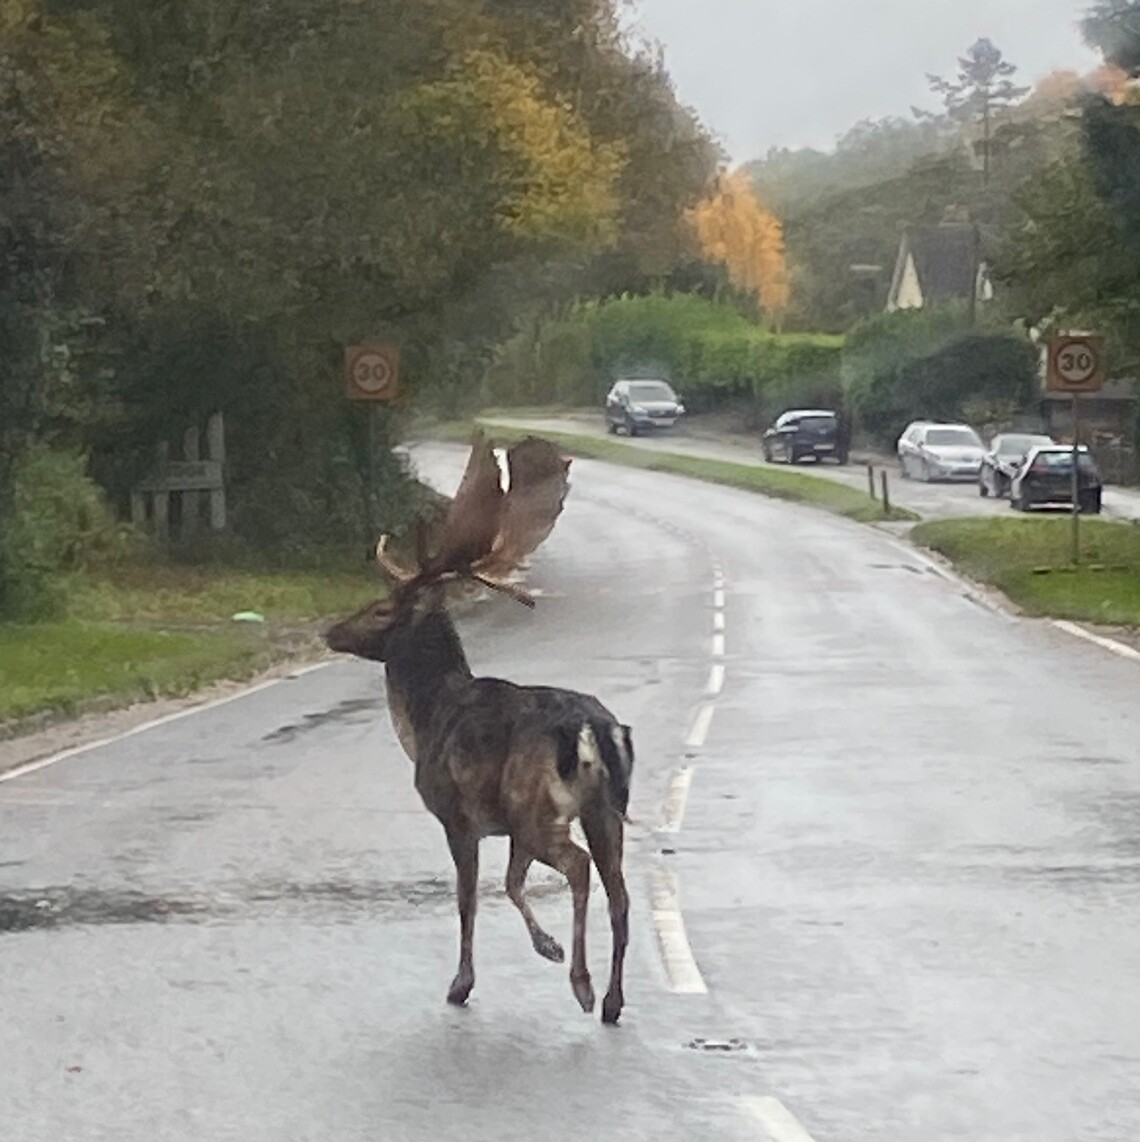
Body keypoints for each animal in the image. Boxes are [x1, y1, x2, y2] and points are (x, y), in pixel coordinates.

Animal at [324, 432, 634, 1024]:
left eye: (380, 610)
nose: (330, 630)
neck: (424, 720)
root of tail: (590, 727)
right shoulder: (503, 824)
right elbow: (511, 883)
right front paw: (545, 946)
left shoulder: (457, 814)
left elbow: (468, 898)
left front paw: (463, 982)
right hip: (604, 810)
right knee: (620, 893)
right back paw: (611, 1001)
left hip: (538, 806)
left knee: (580, 868)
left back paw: (582, 986)